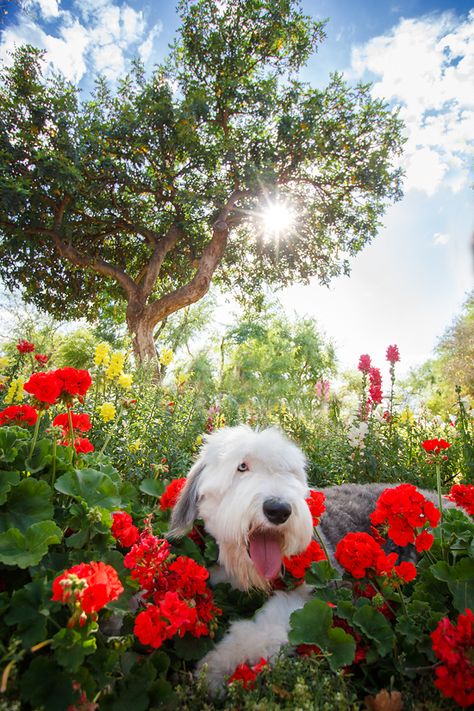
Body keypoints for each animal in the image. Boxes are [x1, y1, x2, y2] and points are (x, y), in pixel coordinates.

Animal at [170, 426, 440, 692]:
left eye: (287, 472)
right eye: (242, 466)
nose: (278, 510)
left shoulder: (322, 592)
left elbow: (271, 624)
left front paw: (216, 667)